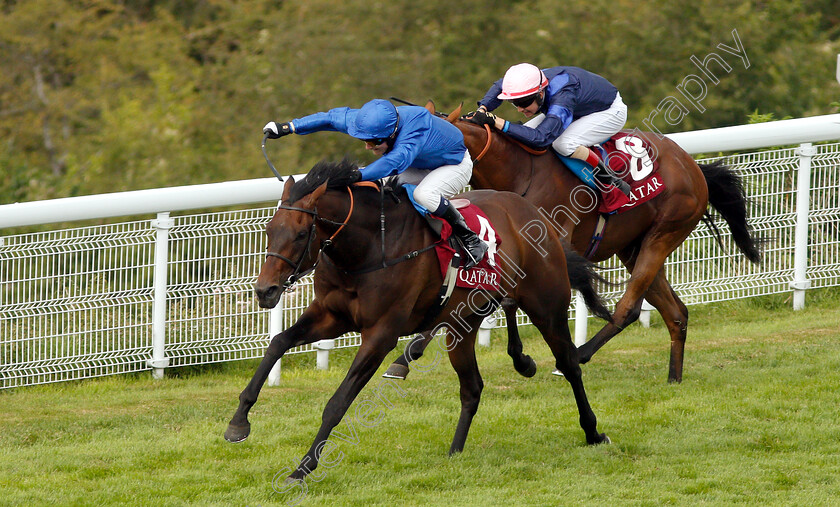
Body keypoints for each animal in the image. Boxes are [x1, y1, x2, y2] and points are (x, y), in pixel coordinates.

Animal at [226, 161, 612, 482]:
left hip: (547, 305)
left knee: (569, 363)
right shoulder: (331, 316)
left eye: (301, 233)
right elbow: (278, 343)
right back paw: (456, 449)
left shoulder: (380, 333)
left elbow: (337, 403)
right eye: (269, 229)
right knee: (472, 386)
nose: (264, 290)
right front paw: (237, 423)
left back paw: (592, 430)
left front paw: (302, 468)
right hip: (462, 325)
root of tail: (533, 213)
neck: (368, 249)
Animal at [388, 104, 760, 384]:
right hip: (633, 247)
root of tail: (692, 165)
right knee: (676, 313)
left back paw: (577, 356)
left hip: (663, 234)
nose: (394, 183)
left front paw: (522, 359)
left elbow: (505, 302)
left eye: (423, 149)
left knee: (629, 307)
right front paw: (405, 358)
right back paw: (673, 377)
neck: (519, 174)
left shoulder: (540, 253)